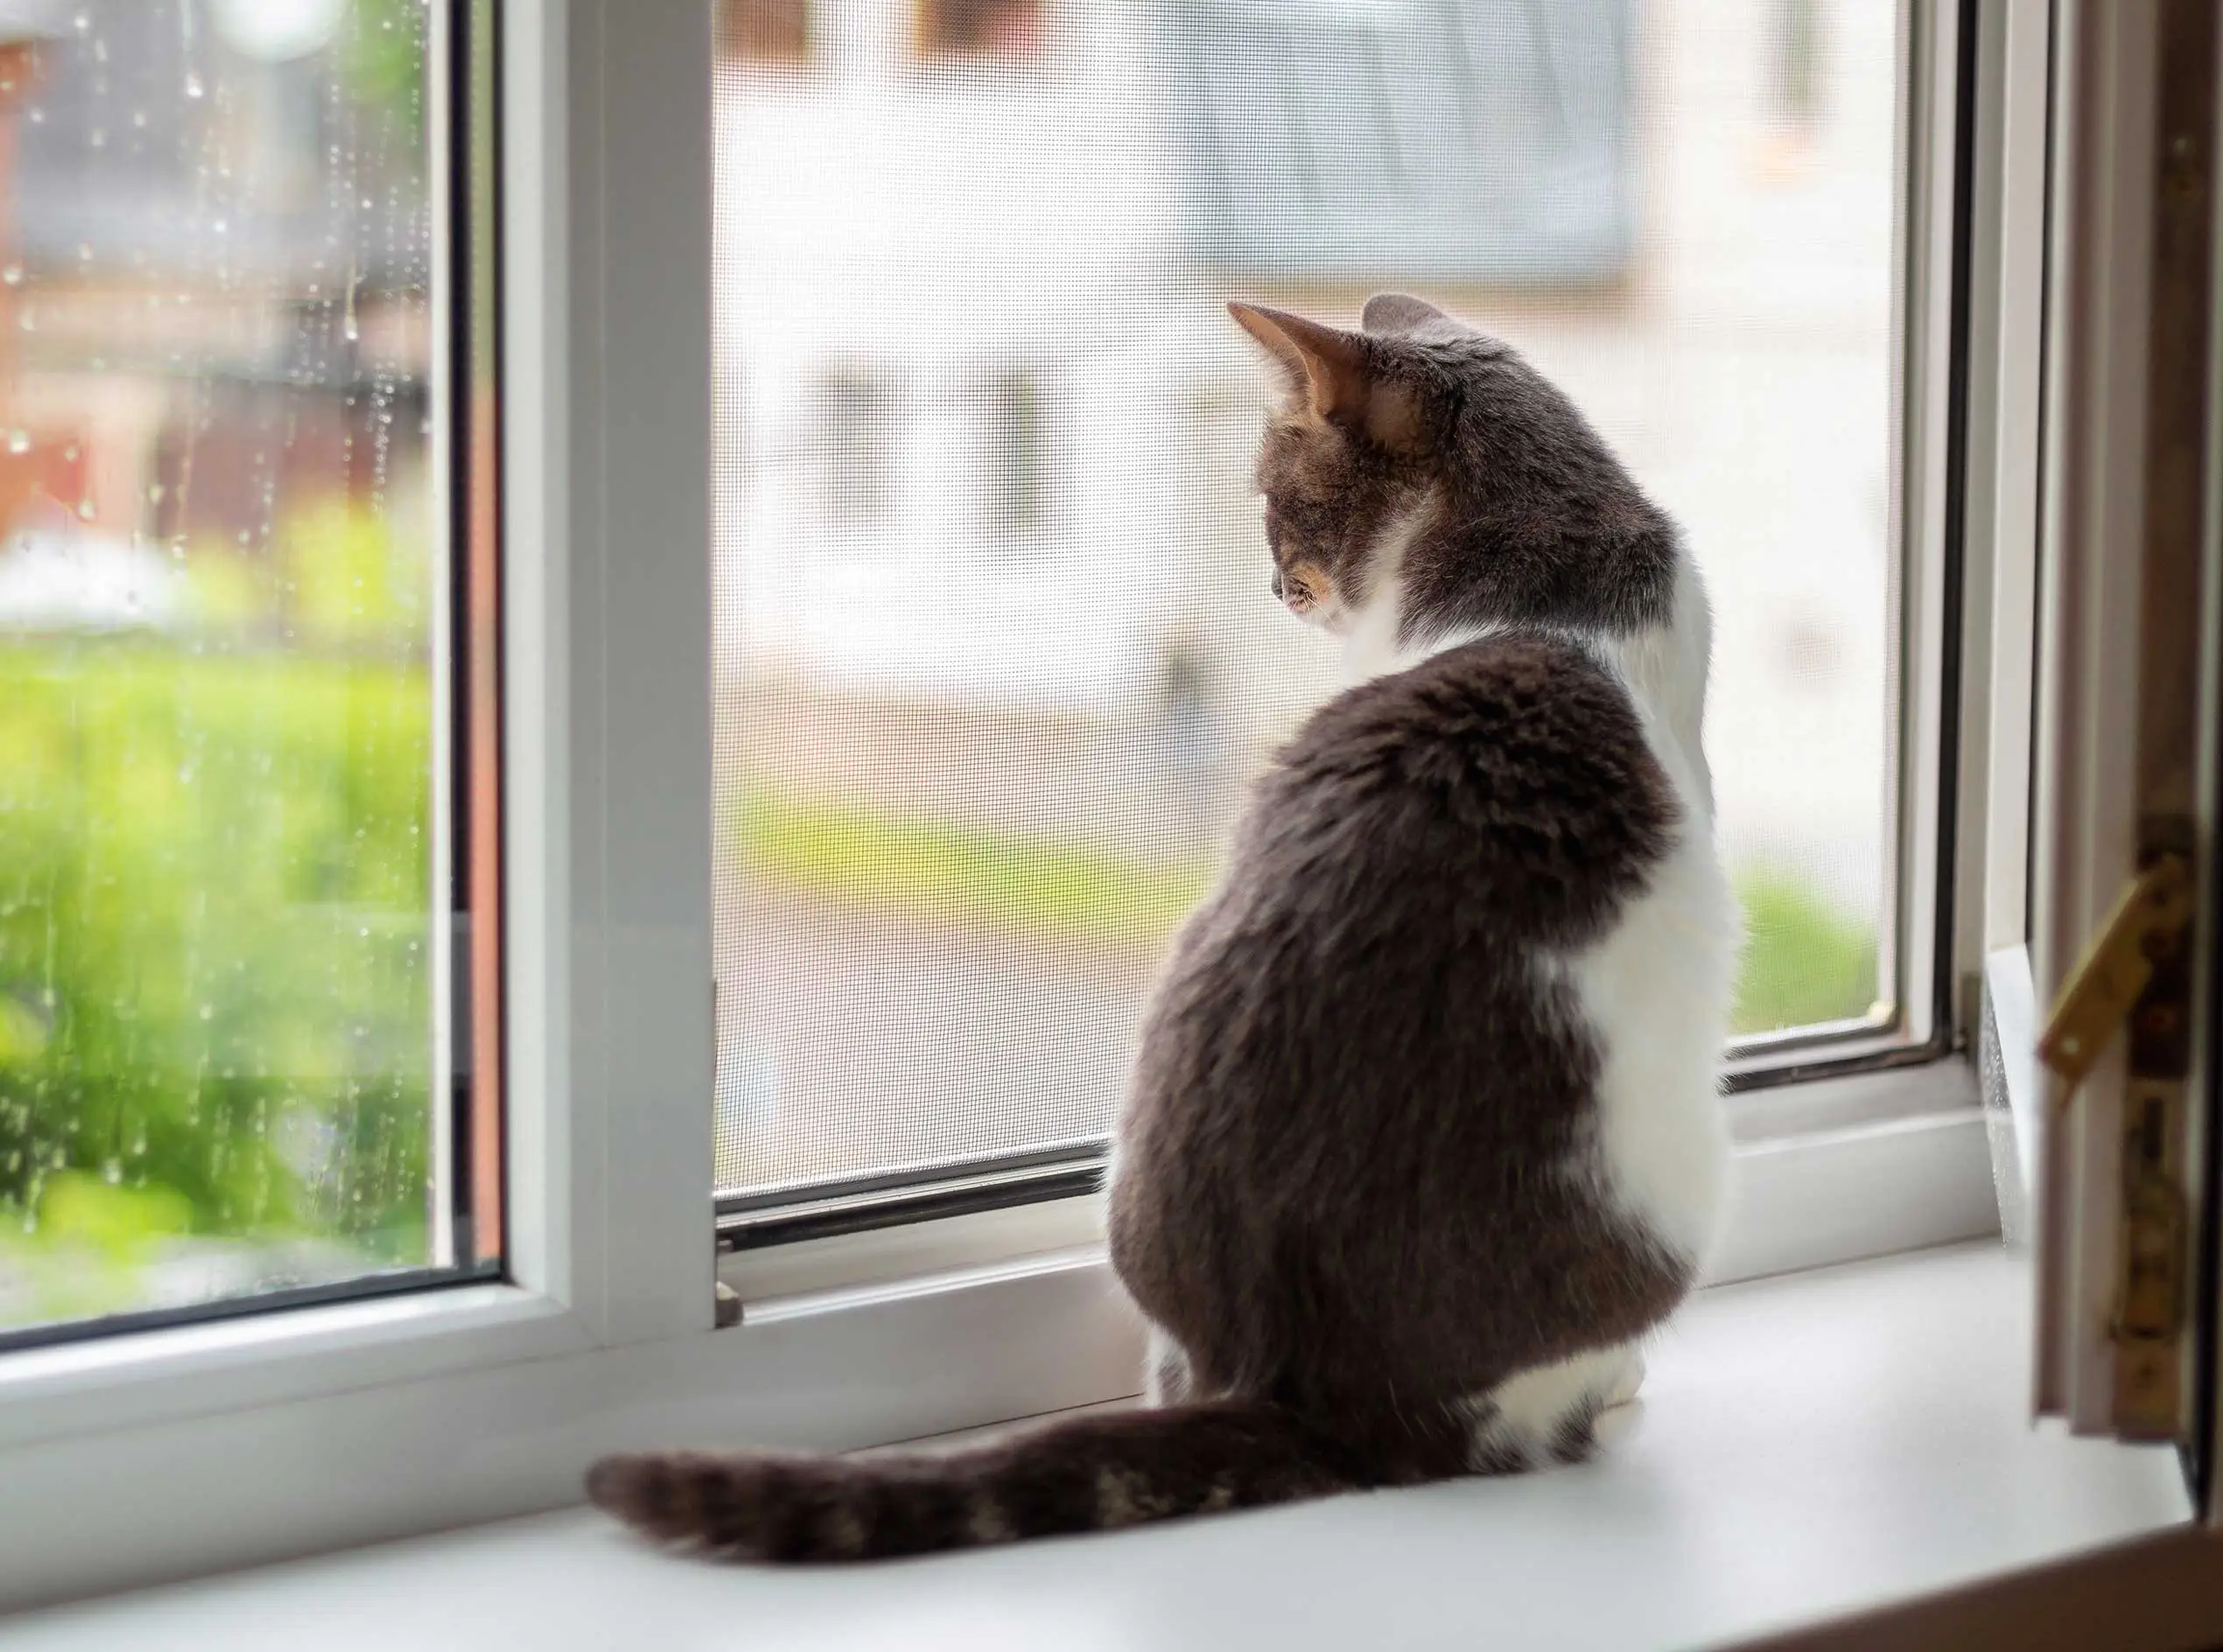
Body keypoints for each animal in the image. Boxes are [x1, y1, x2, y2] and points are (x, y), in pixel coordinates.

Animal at [586, 293, 1734, 1564]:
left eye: (1275, 496)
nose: (1275, 587)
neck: (1547, 542)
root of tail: (1318, 1393)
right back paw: (1613, 1384)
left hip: (1137, 1163)